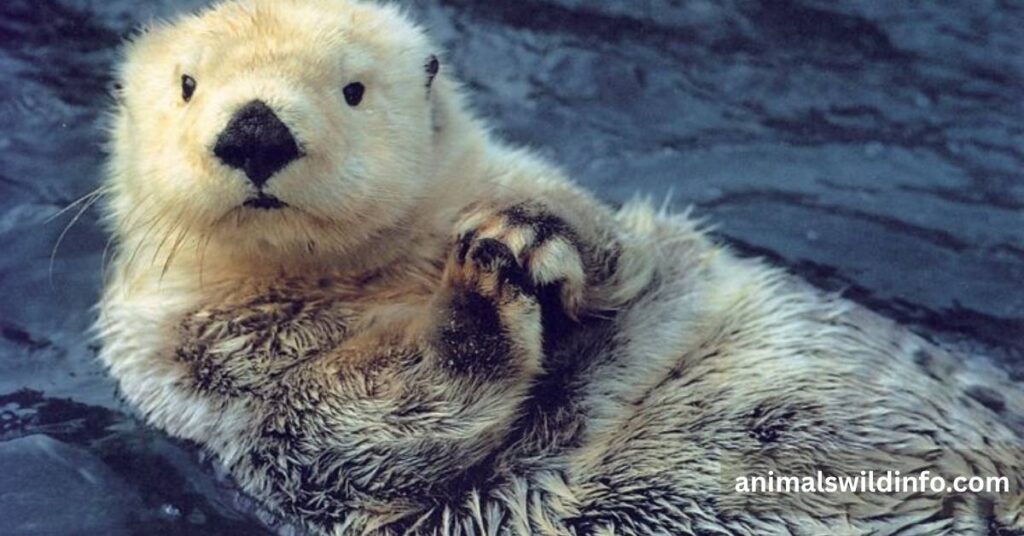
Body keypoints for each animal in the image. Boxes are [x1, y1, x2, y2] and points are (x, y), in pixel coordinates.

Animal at [97, 1, 1024, 534]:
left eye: (352, 89)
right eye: (188, 84)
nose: (256, 130)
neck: (368, 281)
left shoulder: (575, 218)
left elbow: (622, 254)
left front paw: (530, 234)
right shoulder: (207, 378)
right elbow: (370, 430)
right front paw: (479, 294)